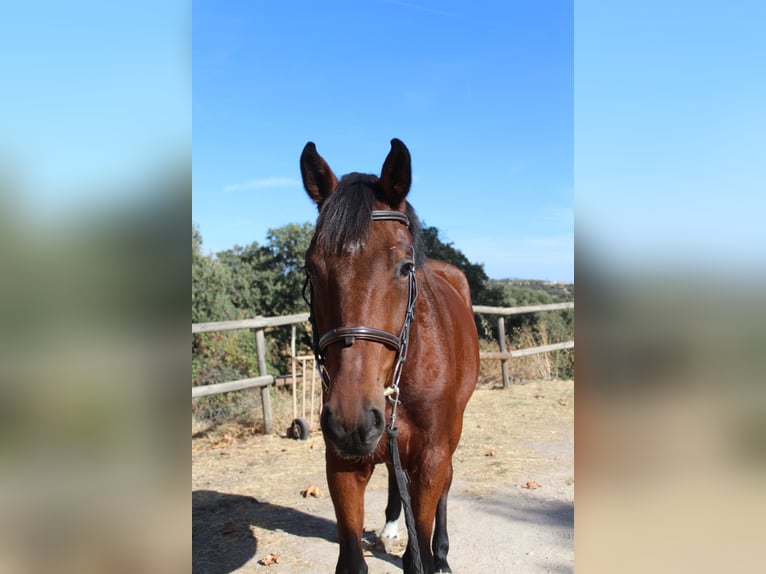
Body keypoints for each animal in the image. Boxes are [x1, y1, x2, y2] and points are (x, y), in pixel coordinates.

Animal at [300, 139, 479, 574]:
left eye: (404, 266)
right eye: (312, 269)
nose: (351, 421)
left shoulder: (432, 457)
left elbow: (422, 551)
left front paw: (434, 554)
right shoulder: (342, 463)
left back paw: (442, 552)